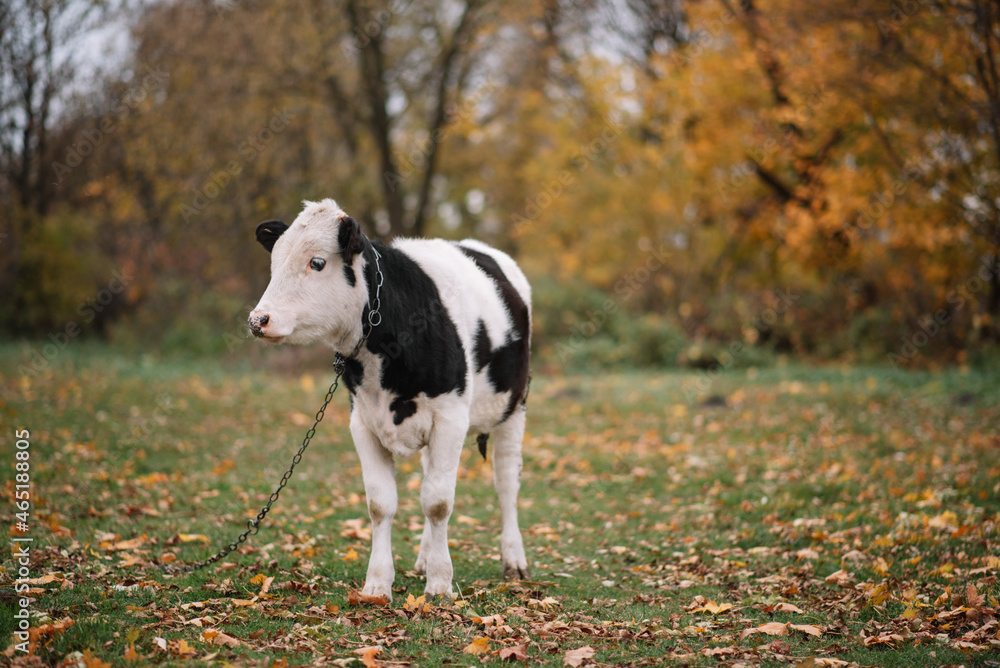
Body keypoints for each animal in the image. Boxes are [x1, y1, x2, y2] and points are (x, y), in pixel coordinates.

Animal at [250, 198, 532, 600]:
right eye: (275, 261)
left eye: (317, 262)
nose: (258, 320)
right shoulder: (363, 422)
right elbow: (381, 504)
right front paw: (378, 583)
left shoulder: (451, 417)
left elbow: (438, 502)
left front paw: (440, 583)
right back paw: (423, 558)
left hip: (514, 407)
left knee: (506, 482)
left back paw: (514, 561)